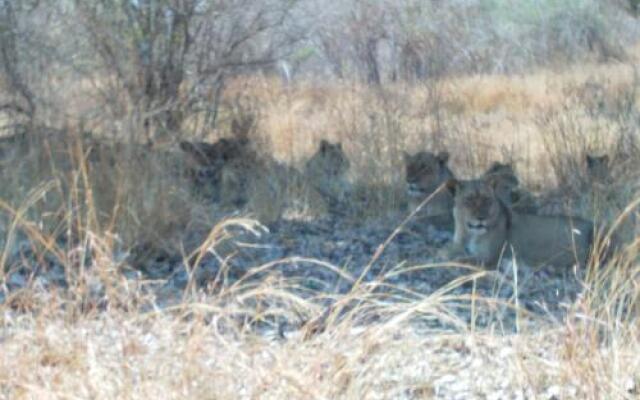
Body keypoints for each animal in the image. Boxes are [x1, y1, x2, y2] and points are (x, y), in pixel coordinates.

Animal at [440, 177, 596, 268]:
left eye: (487, 200)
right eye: (469, 200)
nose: (481, 217)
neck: (470, 233)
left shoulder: (490, 257)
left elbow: (462, 259)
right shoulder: (458, 243)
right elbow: (447, 250)